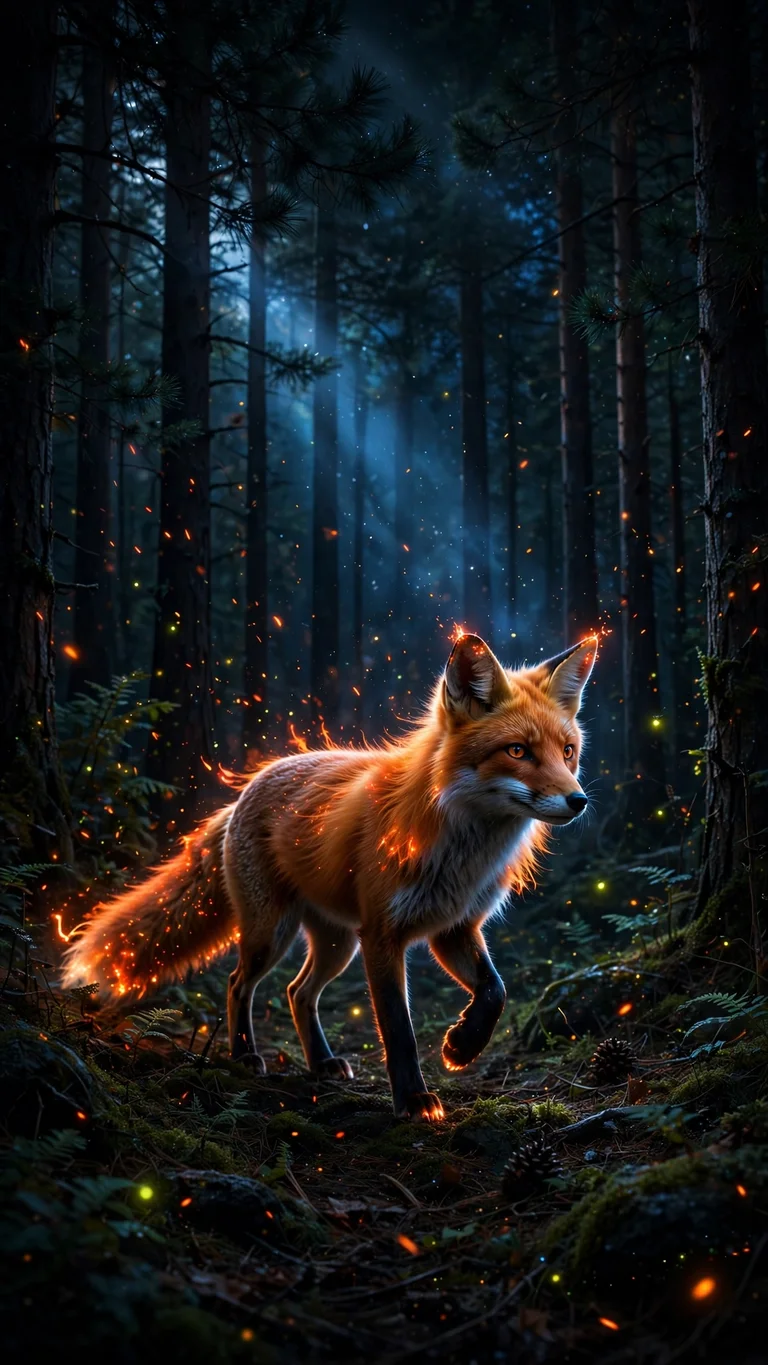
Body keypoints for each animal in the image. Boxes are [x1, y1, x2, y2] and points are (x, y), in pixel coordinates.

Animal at [61, 632, 597, 1120]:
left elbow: (495, 990)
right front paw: (413, 1099)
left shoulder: (454, 928)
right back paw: (245, 1054)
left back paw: (321, 1062)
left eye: (568, 751)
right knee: (239, 983)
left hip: (338, 944)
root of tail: (244, 791)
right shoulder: (383, 935)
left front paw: (462, 1045)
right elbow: (398, 1029)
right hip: (273, 933)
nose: (579, 801)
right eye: (518, 751)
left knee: (298, 993)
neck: (460, 848)